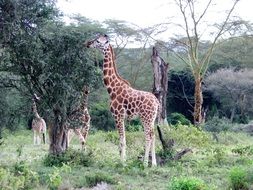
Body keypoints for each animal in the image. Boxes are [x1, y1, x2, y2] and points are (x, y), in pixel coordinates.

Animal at [86, 34, 159, 166]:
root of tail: (156, 102)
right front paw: (123, 160)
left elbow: (122, 140)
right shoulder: (122, 117)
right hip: (152, 118)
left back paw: (145, 163)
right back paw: (154, 164)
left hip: (145, 118)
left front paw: (122, 163)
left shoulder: (117, 115)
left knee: (148, 136)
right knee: (154, 135)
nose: (88, 43)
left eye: (98, 41)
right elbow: (122, 140)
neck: (112, 89)